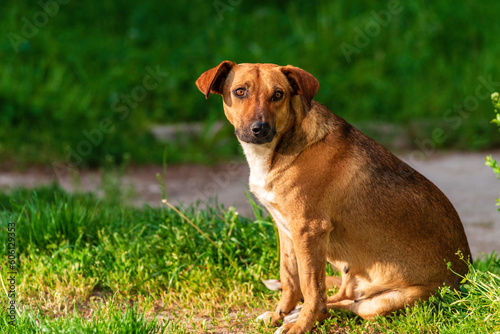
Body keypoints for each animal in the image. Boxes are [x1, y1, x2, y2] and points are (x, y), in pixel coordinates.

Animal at [194, 61, 468, 332]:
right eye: (240, 91)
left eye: (278, 95)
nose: (259, 129)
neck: (277, 148)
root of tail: (466, 279)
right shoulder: (287, 231)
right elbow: (290, 280)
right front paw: (279, 315)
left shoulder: (310, 230)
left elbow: (310, 289)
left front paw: (300, 326)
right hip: (349, 272)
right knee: (340, 298)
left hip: (385, 302)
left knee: (347, 305)